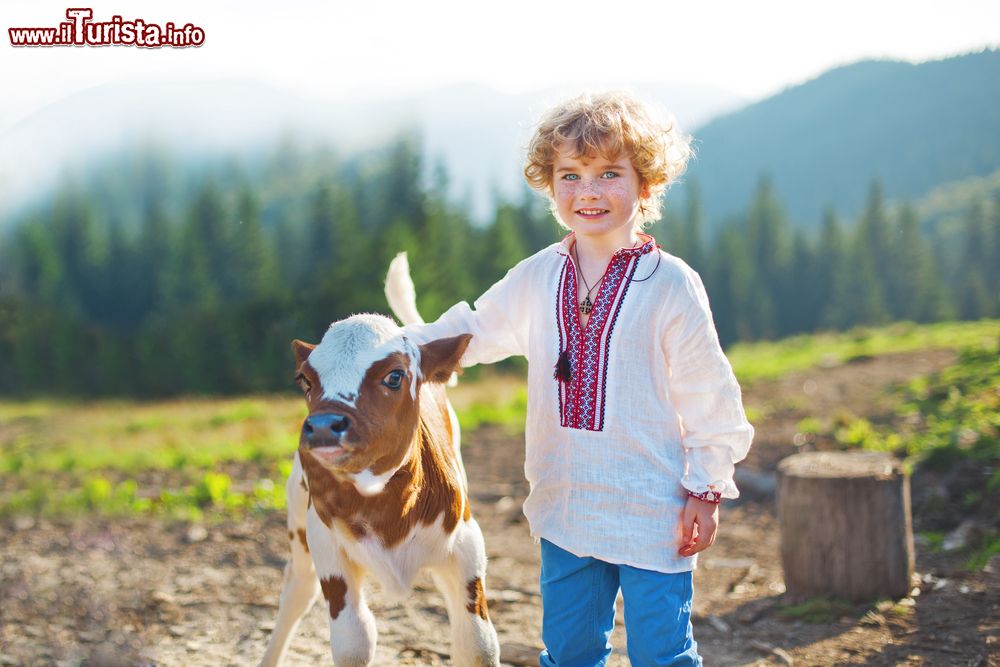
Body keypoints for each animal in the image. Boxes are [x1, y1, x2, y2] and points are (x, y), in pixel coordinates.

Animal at [260, 310, 500, 664]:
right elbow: (354, 643)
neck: (386, 506)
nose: (323, 427)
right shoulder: (327, 548)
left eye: (394, 376)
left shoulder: (467, 547)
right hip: (299, 528)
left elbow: (478, 645)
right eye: (305, 381)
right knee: (298, 591)